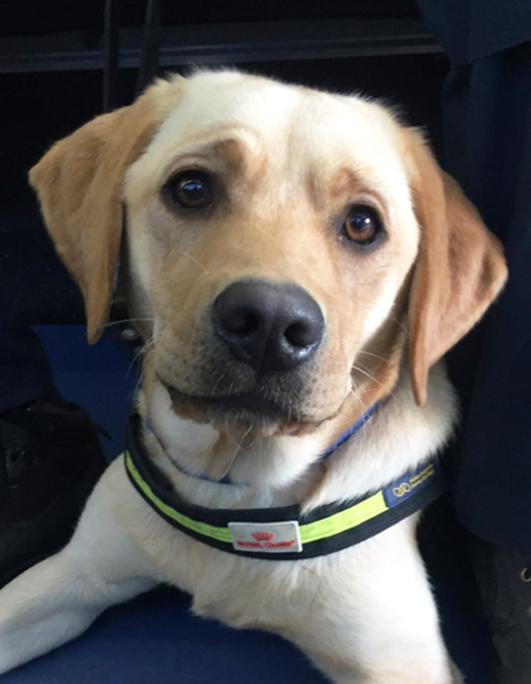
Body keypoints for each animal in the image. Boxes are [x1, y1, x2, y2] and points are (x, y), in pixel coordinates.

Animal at [0, 72, 510, 680]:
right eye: (191, 189)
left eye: (362, 224)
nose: (270, 323)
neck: (239, 493)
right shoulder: (76, 572)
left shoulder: (400, 660)